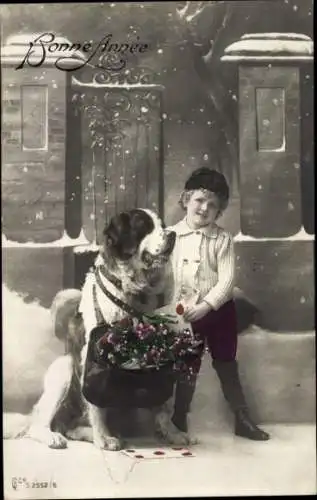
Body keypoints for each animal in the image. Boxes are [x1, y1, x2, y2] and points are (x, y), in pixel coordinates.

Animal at [11, 209, 191, 452]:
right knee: (41, 423)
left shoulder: (157, 353)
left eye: (161, 225)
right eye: (143, 225)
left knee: (71, 427)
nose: (172, 235)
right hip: (65, 368)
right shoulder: (95, 357)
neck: (132, 294)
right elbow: (96, 405)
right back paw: (56, 436)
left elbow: (163, 405)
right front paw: (103, 437)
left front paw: (172, 432)